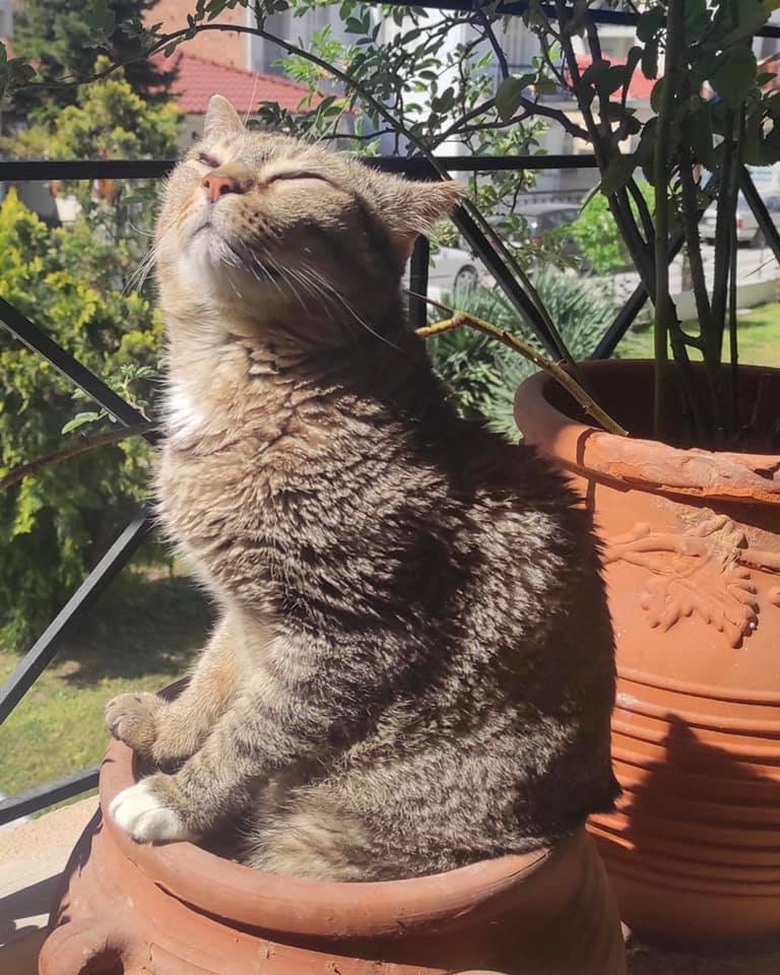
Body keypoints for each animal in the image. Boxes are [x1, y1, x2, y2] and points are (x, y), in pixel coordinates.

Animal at [103, 95, 620, 880]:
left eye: (298, 178)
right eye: (205, 160)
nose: (219, 184)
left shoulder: (346, 633)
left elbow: (252, 730)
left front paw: (179, 798)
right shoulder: (243, 611)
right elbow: (213, 679)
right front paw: (168, 729)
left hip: (328, 840)